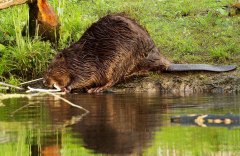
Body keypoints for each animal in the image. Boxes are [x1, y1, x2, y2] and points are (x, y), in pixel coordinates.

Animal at [42, 13, 235, 92]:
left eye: (50, 68)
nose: (44, 81)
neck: (75, 58)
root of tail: (167, 63)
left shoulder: (86, 64)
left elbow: (83, 77)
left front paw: (66, 88)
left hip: (121, 59)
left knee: (114, 79)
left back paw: (96, 89)